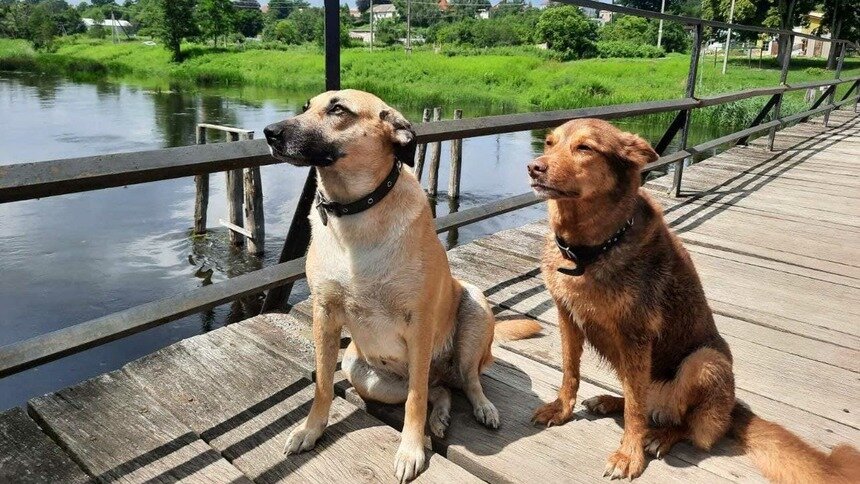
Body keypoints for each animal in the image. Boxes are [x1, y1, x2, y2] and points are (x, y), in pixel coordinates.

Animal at [266, 90, 540, 480]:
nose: (270, 132)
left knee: (465, 380)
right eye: (306, 108)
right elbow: (322, 386)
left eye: (338, 109)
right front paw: (310, 430)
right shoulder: (325, 313)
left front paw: (410, 451)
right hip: (360, 371)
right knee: (438, 389)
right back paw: (440, 416)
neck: (354, 211)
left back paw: (481, 408)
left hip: (473, 309)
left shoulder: (419, 323)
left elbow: (415, 399)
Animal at [528, 119, 856, 482]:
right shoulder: (567, 318)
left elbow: (634, 412)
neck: (589, 251)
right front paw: (561, 410)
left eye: (585, 148)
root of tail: (734, 408)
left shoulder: (635, 335)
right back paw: (609, 402)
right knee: (638, 398)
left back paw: (659, 436)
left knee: (683, 424)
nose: (533, 168)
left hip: (704, 361)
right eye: (549, 143)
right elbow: (570, 373)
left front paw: (629, 454)